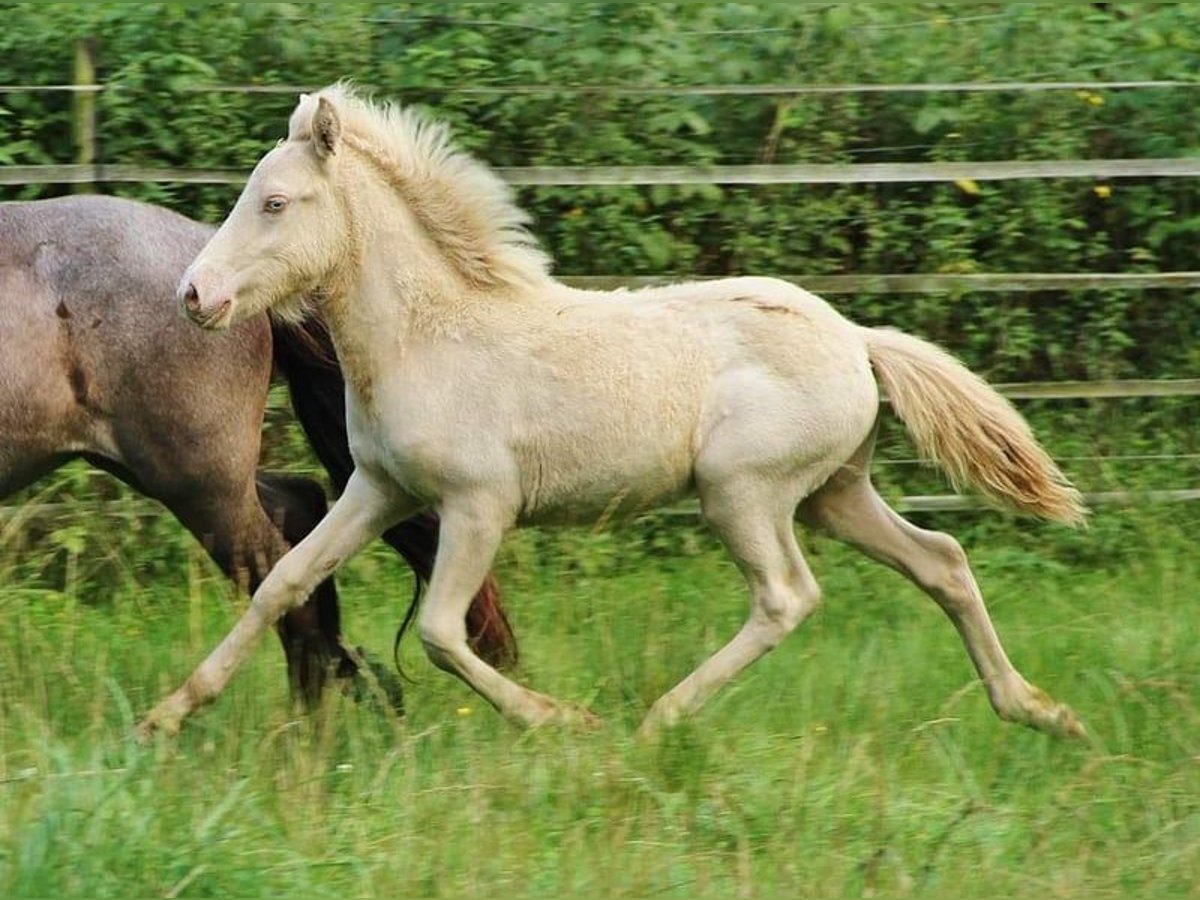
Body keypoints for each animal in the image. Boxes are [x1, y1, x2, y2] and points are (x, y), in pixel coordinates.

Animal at [0, 194, 516, 710]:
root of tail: (211, 280)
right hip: (175, 471)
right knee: (300, 508)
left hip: (198, 482)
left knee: (281, 573)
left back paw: (306, 723)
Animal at [140, 84, 1089, 744]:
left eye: (274, 202)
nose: (194, 296)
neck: (429, 336)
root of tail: (857, 339)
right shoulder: (378, 490)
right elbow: (281, 583)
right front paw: (165, 716)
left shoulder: (479, 505)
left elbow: (445, 633)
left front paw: (563, 721)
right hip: (833, 492)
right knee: (943, 561)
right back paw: (1040, 711)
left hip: (744, 491)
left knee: (787, 596)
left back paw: (657, 720)